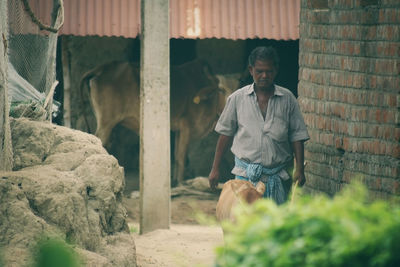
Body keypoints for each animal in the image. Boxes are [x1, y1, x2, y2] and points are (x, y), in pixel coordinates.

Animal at [81, 60, 238, 186]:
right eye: (221, 89)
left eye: (237, 88)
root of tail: (103, 67)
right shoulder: (186, 126)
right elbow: (181, 157)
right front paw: (180, 183)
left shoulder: (178, 130)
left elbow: (176, 155)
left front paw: (174, 182)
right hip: (105, 124)